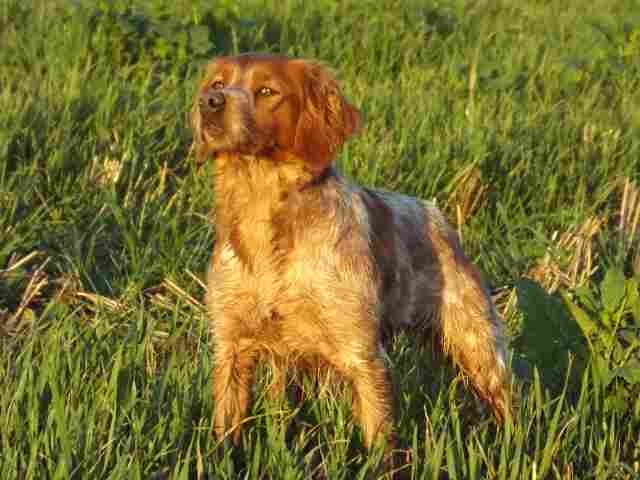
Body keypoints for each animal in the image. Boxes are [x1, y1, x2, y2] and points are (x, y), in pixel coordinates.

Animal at [191, 53, 510, 448]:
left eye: (267, 91)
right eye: (218, 84)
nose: (210, 103)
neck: (262, 212)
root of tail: (437, 215)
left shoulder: (363, 356)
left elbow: (379, 444)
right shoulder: (231, 348)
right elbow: (225, 433)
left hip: (477, 344)